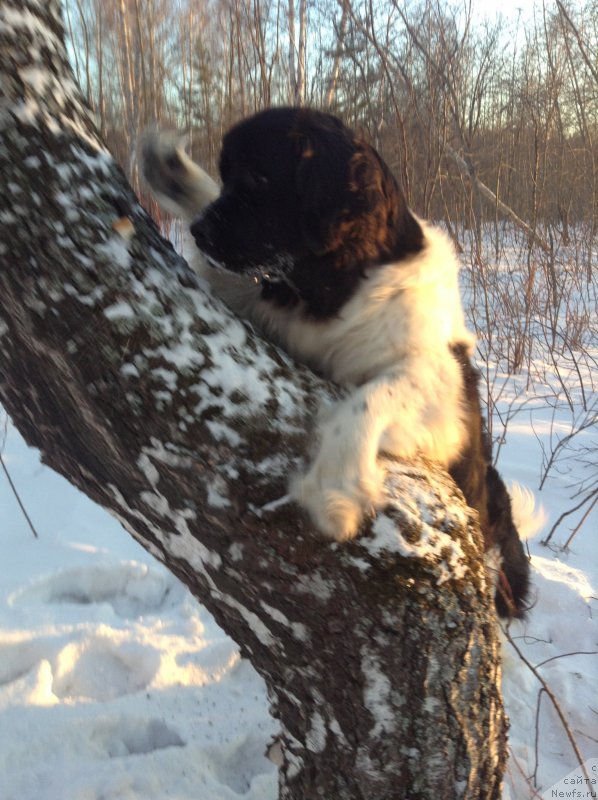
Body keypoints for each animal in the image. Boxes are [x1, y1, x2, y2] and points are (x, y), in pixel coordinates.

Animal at [142, 108, 544, 620]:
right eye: (227, 174)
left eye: (257, 177)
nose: (198, 231)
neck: (335, 285)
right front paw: (175, 176)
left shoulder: (440, 393)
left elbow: (364, 402)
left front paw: (335, 495)